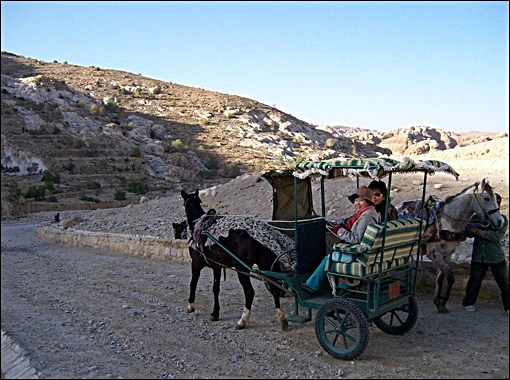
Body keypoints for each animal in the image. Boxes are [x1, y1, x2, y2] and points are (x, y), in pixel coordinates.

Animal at [181, 189, 288, 330]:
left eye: (184, 204)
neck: (198, 224)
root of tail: (256, 235)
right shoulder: (217, 267)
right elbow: (216, 289)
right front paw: (215, 313)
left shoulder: (196, 263)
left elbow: (193, 283)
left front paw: (190, 306)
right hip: (264, 264)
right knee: (275, 288)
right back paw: (281, 318)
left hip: (241, 268)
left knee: (249, 292)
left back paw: (242, 321)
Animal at [424, 180, 504, 314]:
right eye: (487, 198)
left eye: (495, 198)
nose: (500, 222)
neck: (446, 222)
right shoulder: (434, 254)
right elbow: (450, 277)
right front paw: (442, 302)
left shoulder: (447, 254)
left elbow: (441, 278)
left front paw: (438, 301)